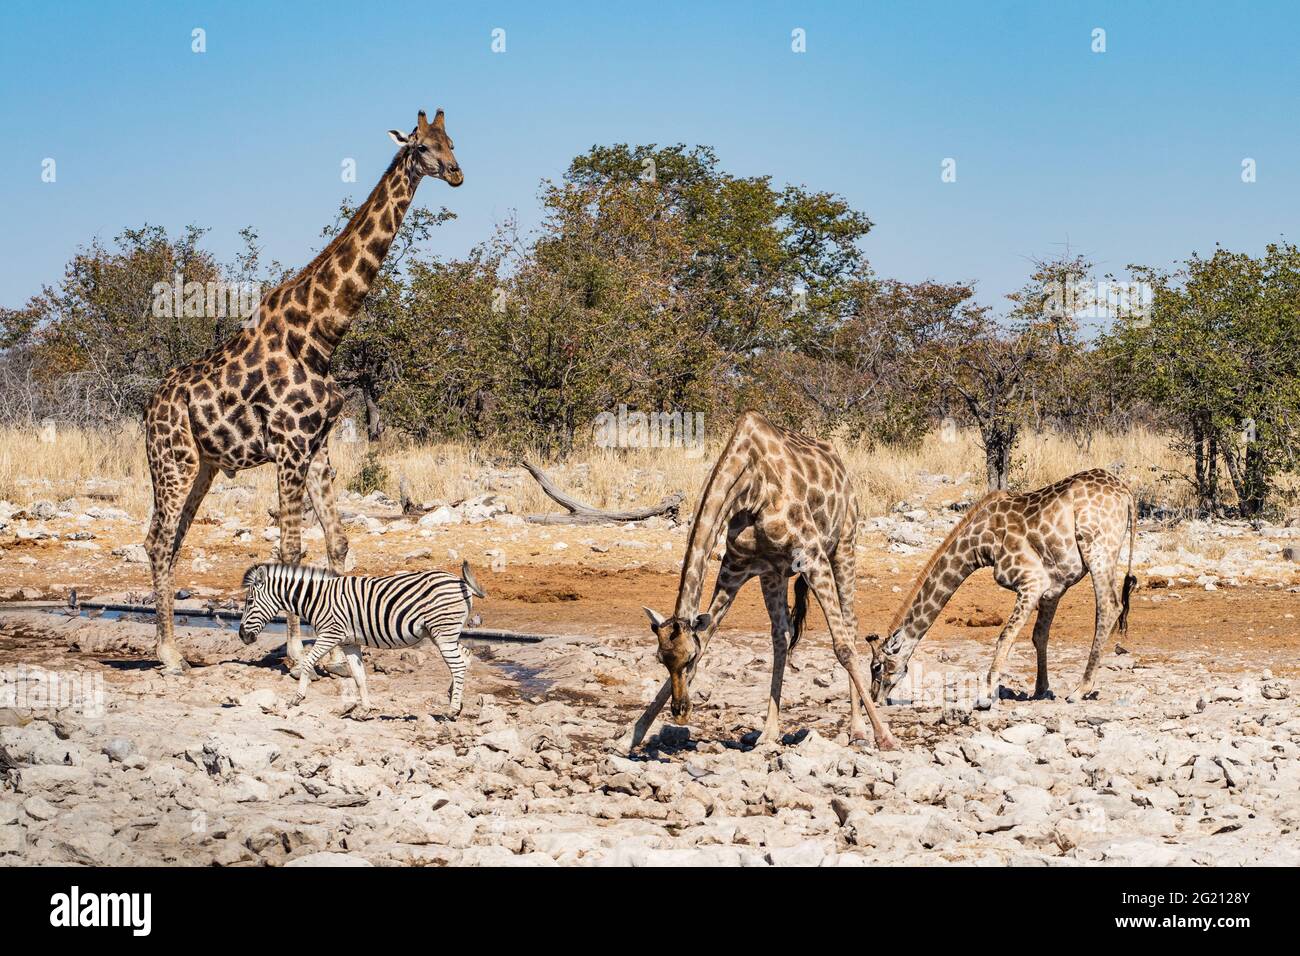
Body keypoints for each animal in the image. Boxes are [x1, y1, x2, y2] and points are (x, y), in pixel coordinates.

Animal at [142, 108, 465, 671]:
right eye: (421, 146)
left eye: (452, 141)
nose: (456, 173)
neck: (321, 333)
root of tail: (149, 410)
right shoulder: (290, 445)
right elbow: (291, 550)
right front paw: (294, 650)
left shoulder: (318, 445)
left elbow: (337, 542)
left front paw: (341, 650)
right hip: (172, 462)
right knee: (159, 542)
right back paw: (169, 655)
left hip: (200, 466)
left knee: (169, 539)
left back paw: (170, 646)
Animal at [240, 561, 488, 717]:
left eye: (250, 602)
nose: (242, 635)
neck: (317, 599)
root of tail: (461, 582)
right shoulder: (350, 642)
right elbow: (359, 677)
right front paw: (364, 709)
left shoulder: (330, 634)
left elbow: (308, 661)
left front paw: (297, 697)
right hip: (442, 633)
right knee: (465, 657)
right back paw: (454, 699)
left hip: (443, 633)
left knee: (457, 665)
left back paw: (452, 710)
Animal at [618, 416, 894, 749]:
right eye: (661, 659)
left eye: (690, 658)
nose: (680, 711)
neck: (750, 489)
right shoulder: (735, 568)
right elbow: (707, 635)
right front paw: (631, 734)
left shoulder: (813, 557)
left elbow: (842, 647)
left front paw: (885, 736)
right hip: (774, 575)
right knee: (782, 636)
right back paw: (769, 732)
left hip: (844, 545)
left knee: (850, 627)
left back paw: (858, 729)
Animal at [873, 468, 1138, 707]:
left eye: (876, 666)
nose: (877, 699)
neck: (978, 545)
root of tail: (1126, 493)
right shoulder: (1052, 588)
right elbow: (1039, 635)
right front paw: (1041, 690)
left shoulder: (1032, 581)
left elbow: (1005, 637)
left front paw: (984, 696)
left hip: (1097, 548)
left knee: (1109, 607)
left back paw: (1080, 690)